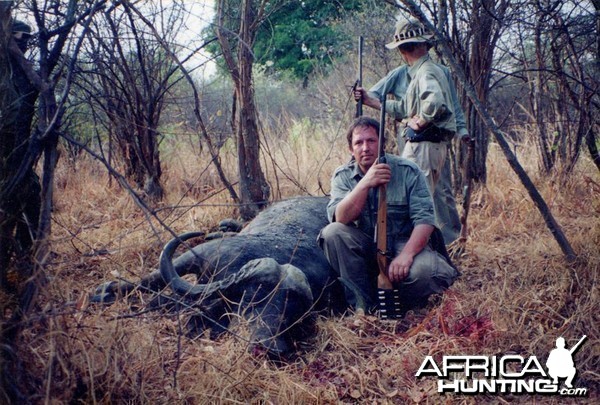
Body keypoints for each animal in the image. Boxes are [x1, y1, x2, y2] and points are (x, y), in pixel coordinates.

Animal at [91, 196, 350, 356]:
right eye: (251, 299)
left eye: (293, 312)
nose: (268, 346)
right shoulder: (197, 256)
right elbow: (151, 279)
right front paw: (105, 291)